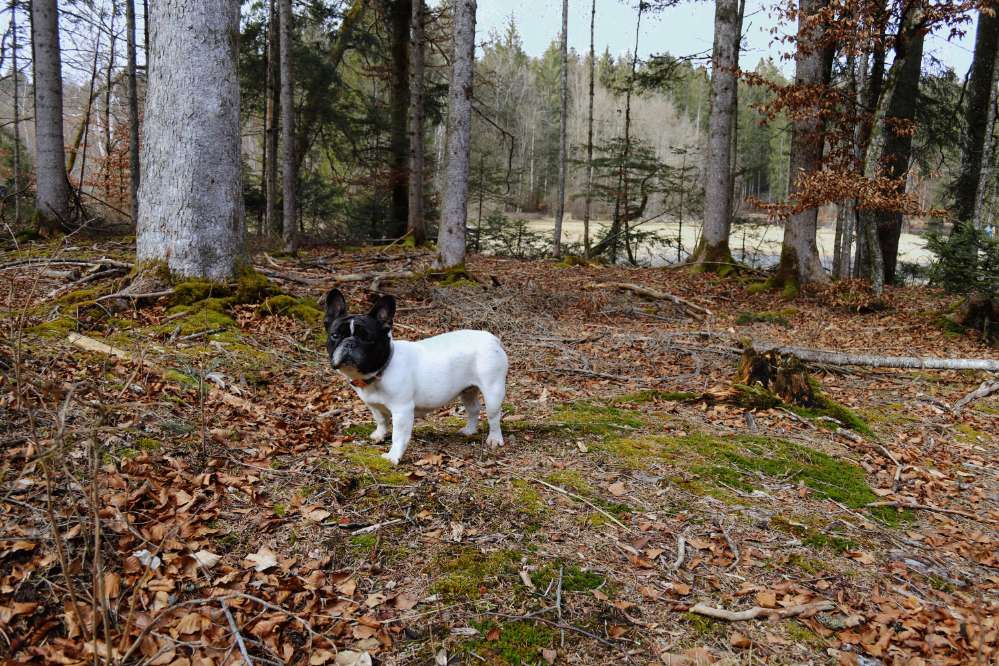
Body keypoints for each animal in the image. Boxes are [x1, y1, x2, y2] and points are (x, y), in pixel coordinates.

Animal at [324, 288, 508, 464]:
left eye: (367, 338)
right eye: (335, 335)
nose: (349, 343)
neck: (381, 370)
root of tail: (491, 338)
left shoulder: (402, 410)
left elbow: (398, 436)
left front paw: (393, 457)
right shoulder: (374, 405)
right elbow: (381, 420)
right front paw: (379, 435)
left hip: (493, 391)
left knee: (493, 416)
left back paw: (494, 438)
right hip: (467, 390)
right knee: (473, 408)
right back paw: (469, 430)